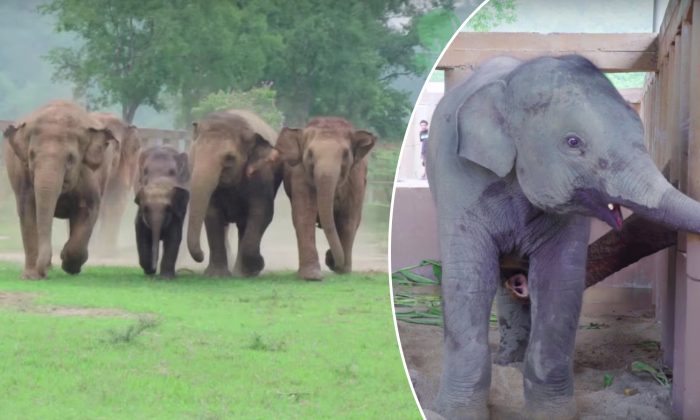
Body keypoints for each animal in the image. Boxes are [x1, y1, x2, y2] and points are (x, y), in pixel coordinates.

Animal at [3, 100, 116, 279]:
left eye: (70, 159)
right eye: (31, 155)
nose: (43, 272)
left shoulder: (89, 175)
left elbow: (88, 209)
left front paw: (68, 264)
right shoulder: (22, 174)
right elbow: (27, 210)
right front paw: (31, 277)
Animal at [134, 146, 189, 278]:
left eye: (172, 172)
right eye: (145, 171)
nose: (154, 269)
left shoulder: (177, 211)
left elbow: (174, 236)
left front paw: (166, 278)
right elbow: (141, 234)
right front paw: (148, 270)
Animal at [186, 109, 282, 277]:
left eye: (229, 158)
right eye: (194, 153)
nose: (201, 255)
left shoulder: (262, 175)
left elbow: (262, 213)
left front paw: (256, 266)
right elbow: (212, 214)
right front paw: (216, 275)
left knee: (244, 224)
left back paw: (242, 273)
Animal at [276, 117, 376, 280]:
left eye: (345, 154)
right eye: (310, 154)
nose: (333, 262)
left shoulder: (356, 177)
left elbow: (348, 218)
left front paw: (342, 270)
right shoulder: (300, 174)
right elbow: (304, 215)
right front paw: (312, 276)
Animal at [425, 55, 700, 419]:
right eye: (573, 142)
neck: (510, 85)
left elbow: (559, 282)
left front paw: (551, 413)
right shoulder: (458, 176)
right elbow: (468, 280)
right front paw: (453, 413)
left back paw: (512, 360)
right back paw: (506, 362)